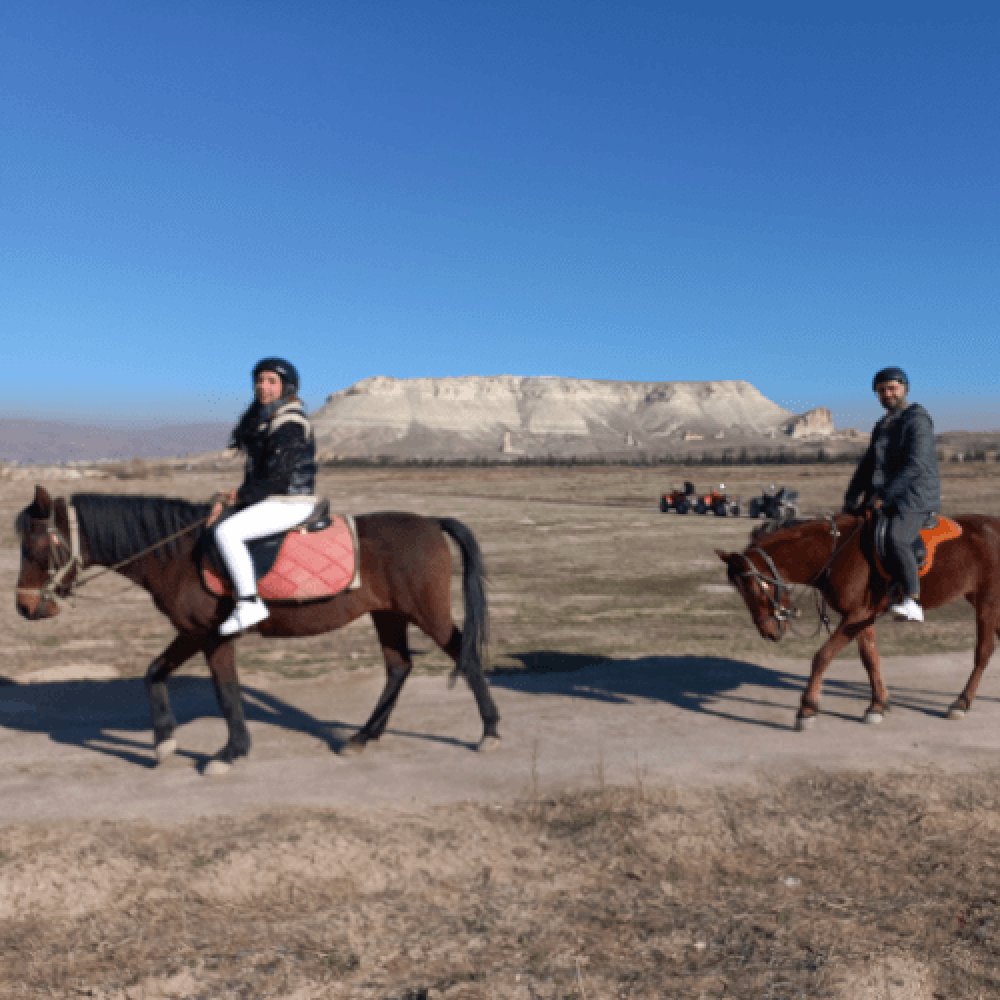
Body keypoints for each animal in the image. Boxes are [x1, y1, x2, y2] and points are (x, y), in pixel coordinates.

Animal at [15, 486, 501, 774]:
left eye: (35, 545)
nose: (23, 605)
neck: (178, 552)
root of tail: (431, 522)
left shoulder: (212, 636)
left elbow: (226, 691)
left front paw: (230, 751)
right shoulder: (193, 633)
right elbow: (155, 672)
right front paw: (165, 744)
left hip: (427, 614)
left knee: (465, 656)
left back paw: (490, 732)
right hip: (389, 615)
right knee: (398, 667)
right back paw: (363, 737)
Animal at [717, 512, 1000, 729]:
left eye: (754, 589)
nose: (768, 631)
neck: (836, 553)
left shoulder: (856, 616)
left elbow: (822, 656)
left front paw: (807, 708)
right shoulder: (863, 616)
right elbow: (870, 659)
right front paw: (877, 705)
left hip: (987, 602)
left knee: (984, 652)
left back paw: (961, 702)